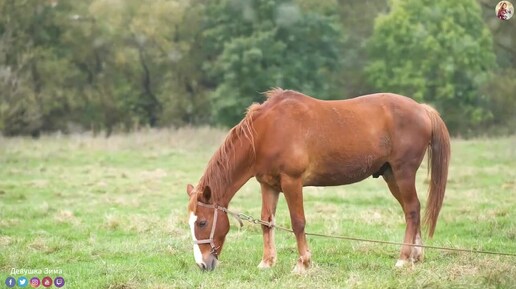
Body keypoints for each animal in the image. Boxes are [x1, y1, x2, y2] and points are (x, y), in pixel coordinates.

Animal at [185, 87, 448, 270]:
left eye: (202, 223)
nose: (202, 264)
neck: (267, 131)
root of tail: (423, 109)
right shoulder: (268, 184)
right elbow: (266, 222)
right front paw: (267, 263)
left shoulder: (292, 182)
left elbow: (298, 222)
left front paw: (303, 264)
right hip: (390, 175)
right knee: (412, 210)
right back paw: (416, 256)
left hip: (403, 173)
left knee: (412, 210)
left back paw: (403, 259)